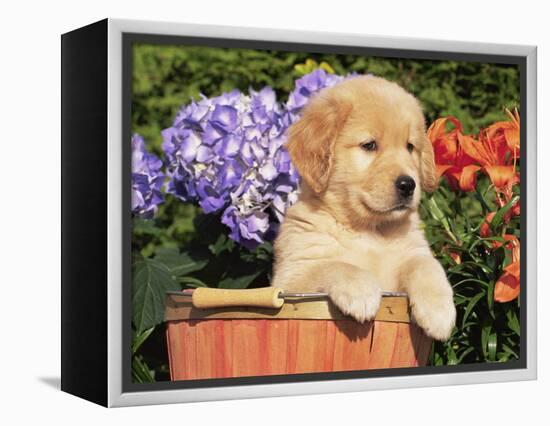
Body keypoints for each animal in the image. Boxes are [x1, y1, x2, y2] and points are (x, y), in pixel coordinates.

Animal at [272, 73, 458, 340]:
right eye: (369, 145)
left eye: (410, 146)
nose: (408, 185)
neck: (370, 230)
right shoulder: (290, 279)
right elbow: (333, 265)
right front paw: (361, 292)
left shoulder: (413, 251)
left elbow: (427, 266)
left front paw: (439, 312)